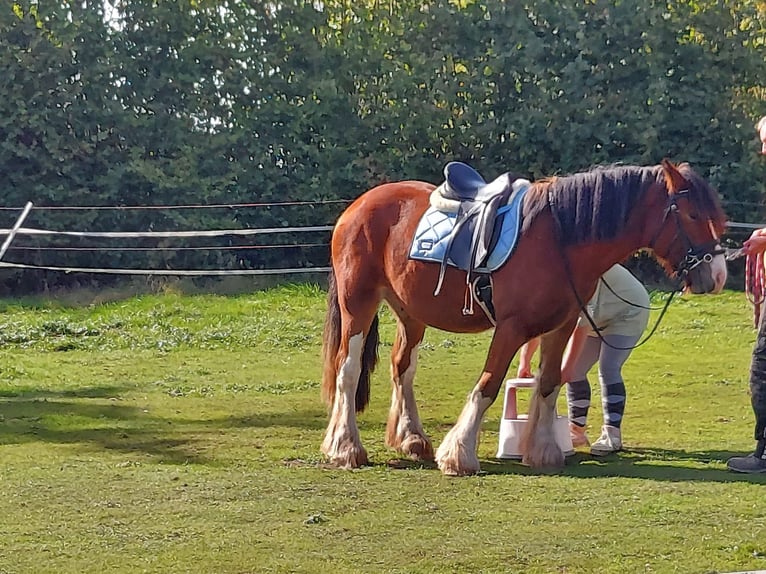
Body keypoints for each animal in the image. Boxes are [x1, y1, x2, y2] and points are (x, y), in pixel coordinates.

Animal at [320, 159, 727, 476]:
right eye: (692, 215)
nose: (719, 275)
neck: (559, 237)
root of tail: (359, 205)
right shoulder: (511, 327)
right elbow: (488, 384)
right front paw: (459, 454)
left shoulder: (562, 325)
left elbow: (548, 382)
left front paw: (543, 450)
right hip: (358, 304)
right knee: (348, 370)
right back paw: (346, 447)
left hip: (410, 312)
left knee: (402, 367)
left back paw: (412, 439)